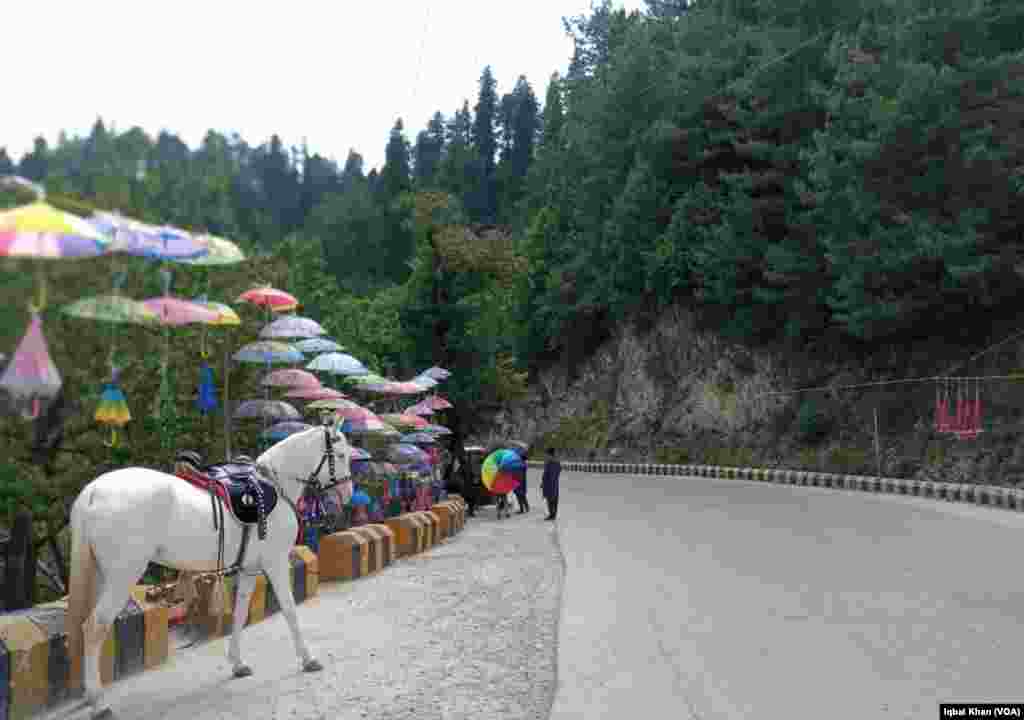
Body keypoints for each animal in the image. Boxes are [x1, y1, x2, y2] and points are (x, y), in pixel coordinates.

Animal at [66, 426, 352, 716]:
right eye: (340, 455)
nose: (347, 493)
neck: (274, 484)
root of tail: (93, 491)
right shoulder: (276, 562)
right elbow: (290, 610)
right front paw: (308, 659)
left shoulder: (249, 570)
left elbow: (240, 613)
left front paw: (237, 663)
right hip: (121, 577)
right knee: (95, 627)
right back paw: (99, 702)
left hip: (101, 576)